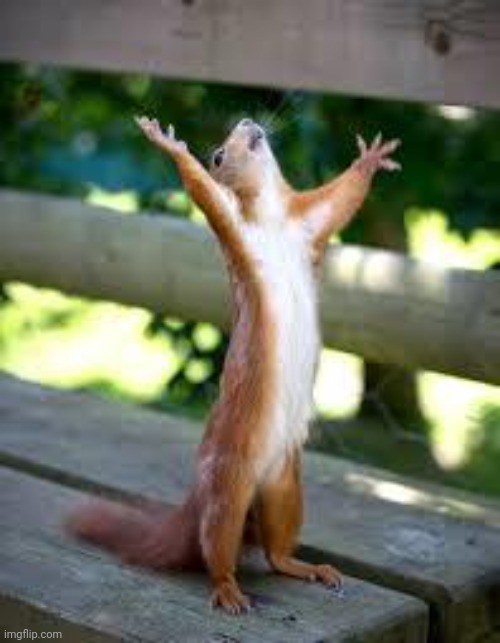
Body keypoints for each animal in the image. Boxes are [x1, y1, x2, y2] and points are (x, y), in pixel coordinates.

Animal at [68, 116, 400, 614]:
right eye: (219, 154)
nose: (247, 121)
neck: (274, 217)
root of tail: (198, 498)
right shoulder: (235, 226)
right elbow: (204, 192)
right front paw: (169, 145)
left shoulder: (309, 221)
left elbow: (341, 199)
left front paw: (371, 159)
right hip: (228, 490)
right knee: (217, 548)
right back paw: (228, 589)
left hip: (285, 485)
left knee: (276, 550)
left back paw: (307, 567)